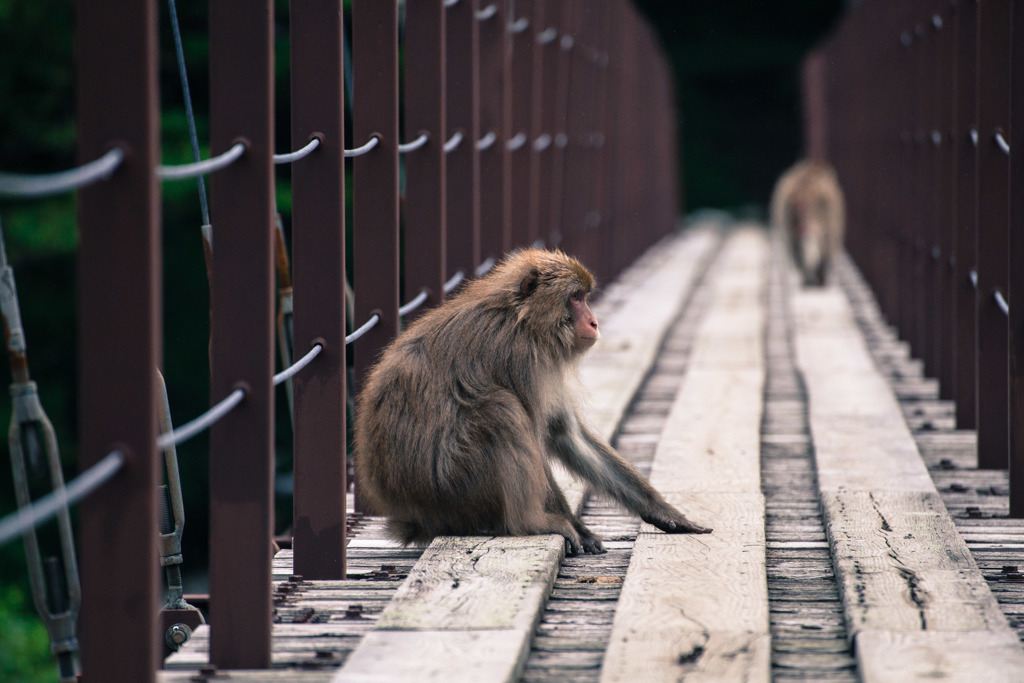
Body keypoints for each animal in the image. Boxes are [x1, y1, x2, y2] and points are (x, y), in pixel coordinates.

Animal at [352, 245, 712, 557]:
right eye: (576, 298)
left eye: (585, 297)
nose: (594, 322)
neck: (523, 320)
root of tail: (413, 515)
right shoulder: (519, 356)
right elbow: (536, 437)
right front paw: (576, 526)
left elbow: (568, 435)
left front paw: (661, 510)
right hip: (452, 489)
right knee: (501, 410)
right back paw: (531, 522)